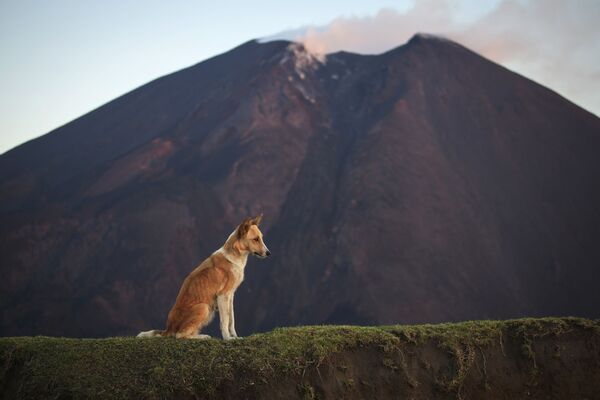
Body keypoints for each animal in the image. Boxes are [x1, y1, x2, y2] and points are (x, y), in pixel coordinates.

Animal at [137, 214, 270, 340]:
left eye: (261, 238)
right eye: (255, 239)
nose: (269, 253)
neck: (235, 255)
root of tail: (168, 329)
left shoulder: (231, 295)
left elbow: (231, 320)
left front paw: (235, 337)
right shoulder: (223, 296)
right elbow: (225, 321)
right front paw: (227, 338)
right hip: (204, 307)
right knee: (180, 335)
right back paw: (202, 336)